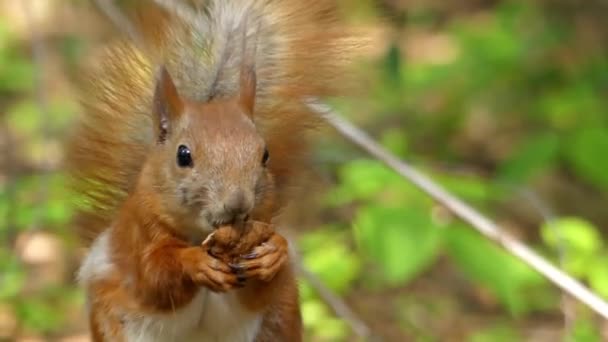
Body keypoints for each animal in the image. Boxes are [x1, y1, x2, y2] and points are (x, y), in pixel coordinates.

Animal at [65, 0, 360, 342]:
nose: (238, 203)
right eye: (183, 155)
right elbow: (154, 277)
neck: (201, 234)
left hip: (280, 318)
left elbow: (264, 284)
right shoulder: (138, 237)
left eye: (265, 154)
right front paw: (194, 263)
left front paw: (274, 253)